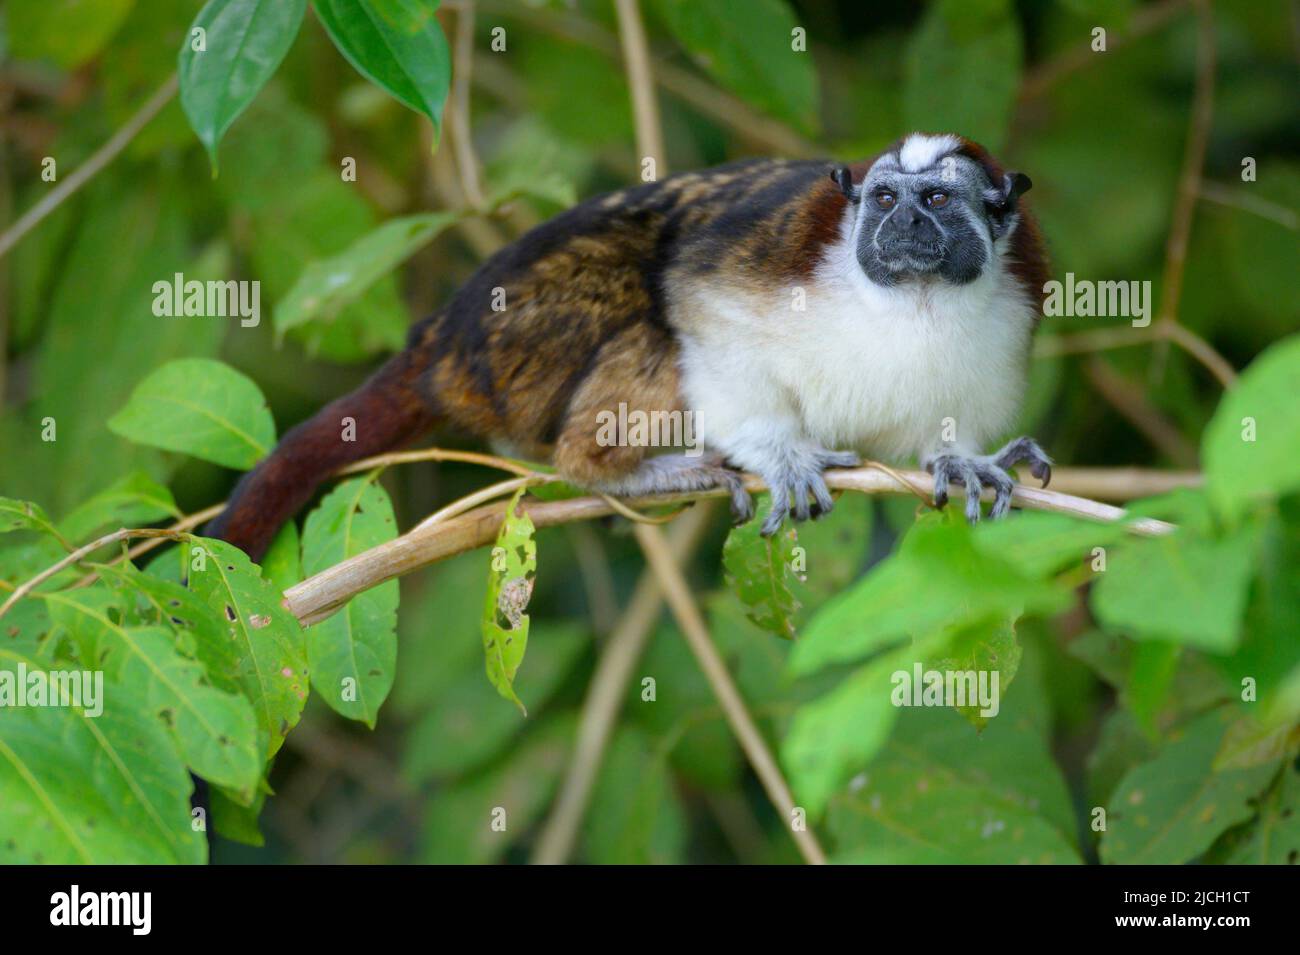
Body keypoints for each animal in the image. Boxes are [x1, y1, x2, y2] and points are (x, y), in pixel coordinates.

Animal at [206, 132, 1052, 560]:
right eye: (884, 199)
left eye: (934, 199)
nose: (900, 223)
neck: (913, 300)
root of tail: (445, 336)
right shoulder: (762, 268)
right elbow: (695, 304)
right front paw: (781, 455)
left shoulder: (1013, 308)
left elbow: (944, 431)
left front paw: (961, 461)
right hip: (524, 340)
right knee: (648, 311)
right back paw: (627, 467)